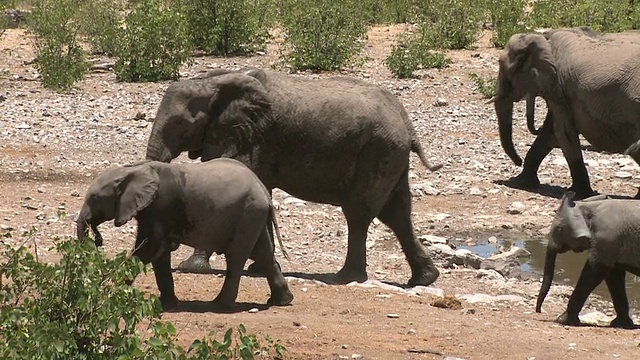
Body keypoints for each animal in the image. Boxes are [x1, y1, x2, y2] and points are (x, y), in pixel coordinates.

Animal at [76, 159, 294, 310]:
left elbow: (149, 248)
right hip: (253, 216)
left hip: (248, 213)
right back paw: (282, 301)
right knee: (263, 253)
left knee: (236, 257)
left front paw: (107, 290)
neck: (133, 169)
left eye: (95, 199)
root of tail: (264, 191)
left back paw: (219, 305)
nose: (98, 240)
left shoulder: (161, 205)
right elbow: (160, 254)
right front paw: (168, 305)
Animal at [146, 67, 444, 286]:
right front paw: (259, 268)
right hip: (391, 155)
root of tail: (406, 122)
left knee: (359, 213)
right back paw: (424, 280)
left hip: (377, 151)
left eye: (180, 125)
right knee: (397, 214)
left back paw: (345, 278)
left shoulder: (248, 137)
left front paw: (192, 267)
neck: (212, 81)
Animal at [496, 26, 640, 198]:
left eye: (506, 69)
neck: (543, 38)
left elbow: (562, 132)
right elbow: (549, 133)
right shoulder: (560, 90)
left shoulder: (558, 84)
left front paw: (579, 193)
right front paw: (521, 182)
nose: (518, 162)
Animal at [536, 193, 640, 328]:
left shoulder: (607, 239)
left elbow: (593, 272)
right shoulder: (613, 244)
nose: (538, 311)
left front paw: (562, 320)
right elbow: (614, 277)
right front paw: (621, 324)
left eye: (559, 229)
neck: (589, 205)